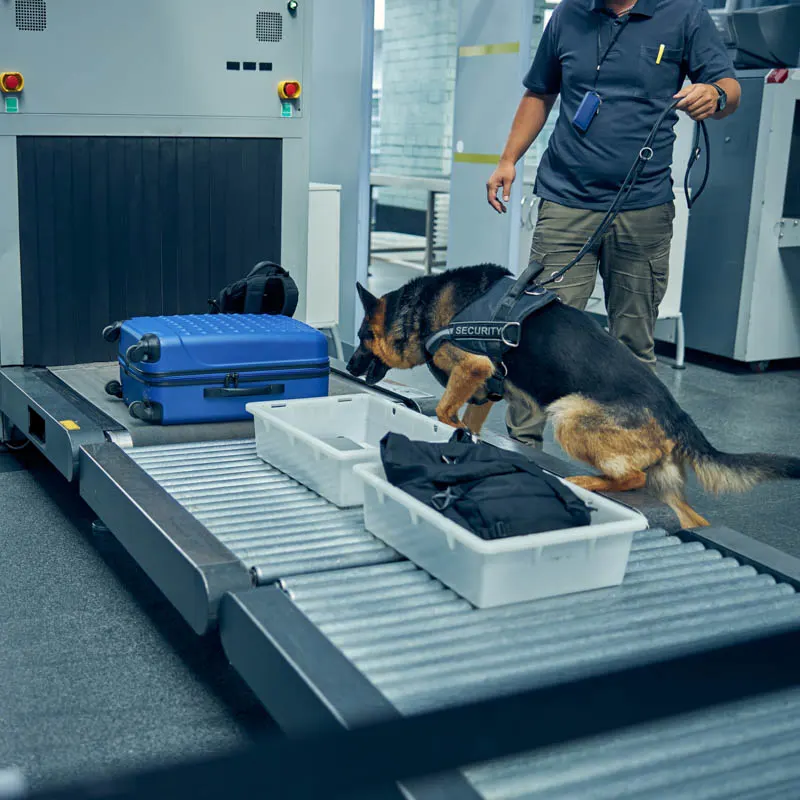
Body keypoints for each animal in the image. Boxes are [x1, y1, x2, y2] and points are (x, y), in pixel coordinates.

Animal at [348, 264, 800, 532]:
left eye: (362, 337)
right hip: (670, 490)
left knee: (631, 478)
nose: (349, 368)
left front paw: (448, 427)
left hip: (567, 414)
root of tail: (677, 413)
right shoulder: (485, 386)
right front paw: (465, 438)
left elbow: (445, 408)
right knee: (686, 514)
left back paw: (586, 481)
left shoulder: (472, 367)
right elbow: (467, 418)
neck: (419, 307)